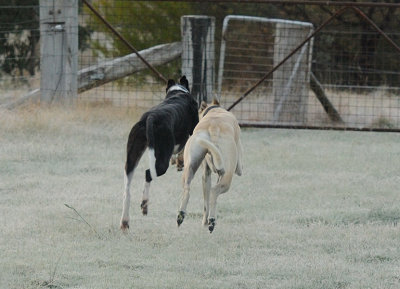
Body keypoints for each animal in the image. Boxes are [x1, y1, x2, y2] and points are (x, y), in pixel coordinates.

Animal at [120, 76, 198, 230]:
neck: (178, 91)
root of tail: (150, 117)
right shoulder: (190, 132)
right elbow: (182, 149)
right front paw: (180, 162)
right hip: (161, 162)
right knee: (148, 174)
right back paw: (144, 204)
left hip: (132, 158)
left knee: (127, 191)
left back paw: (125, 222)